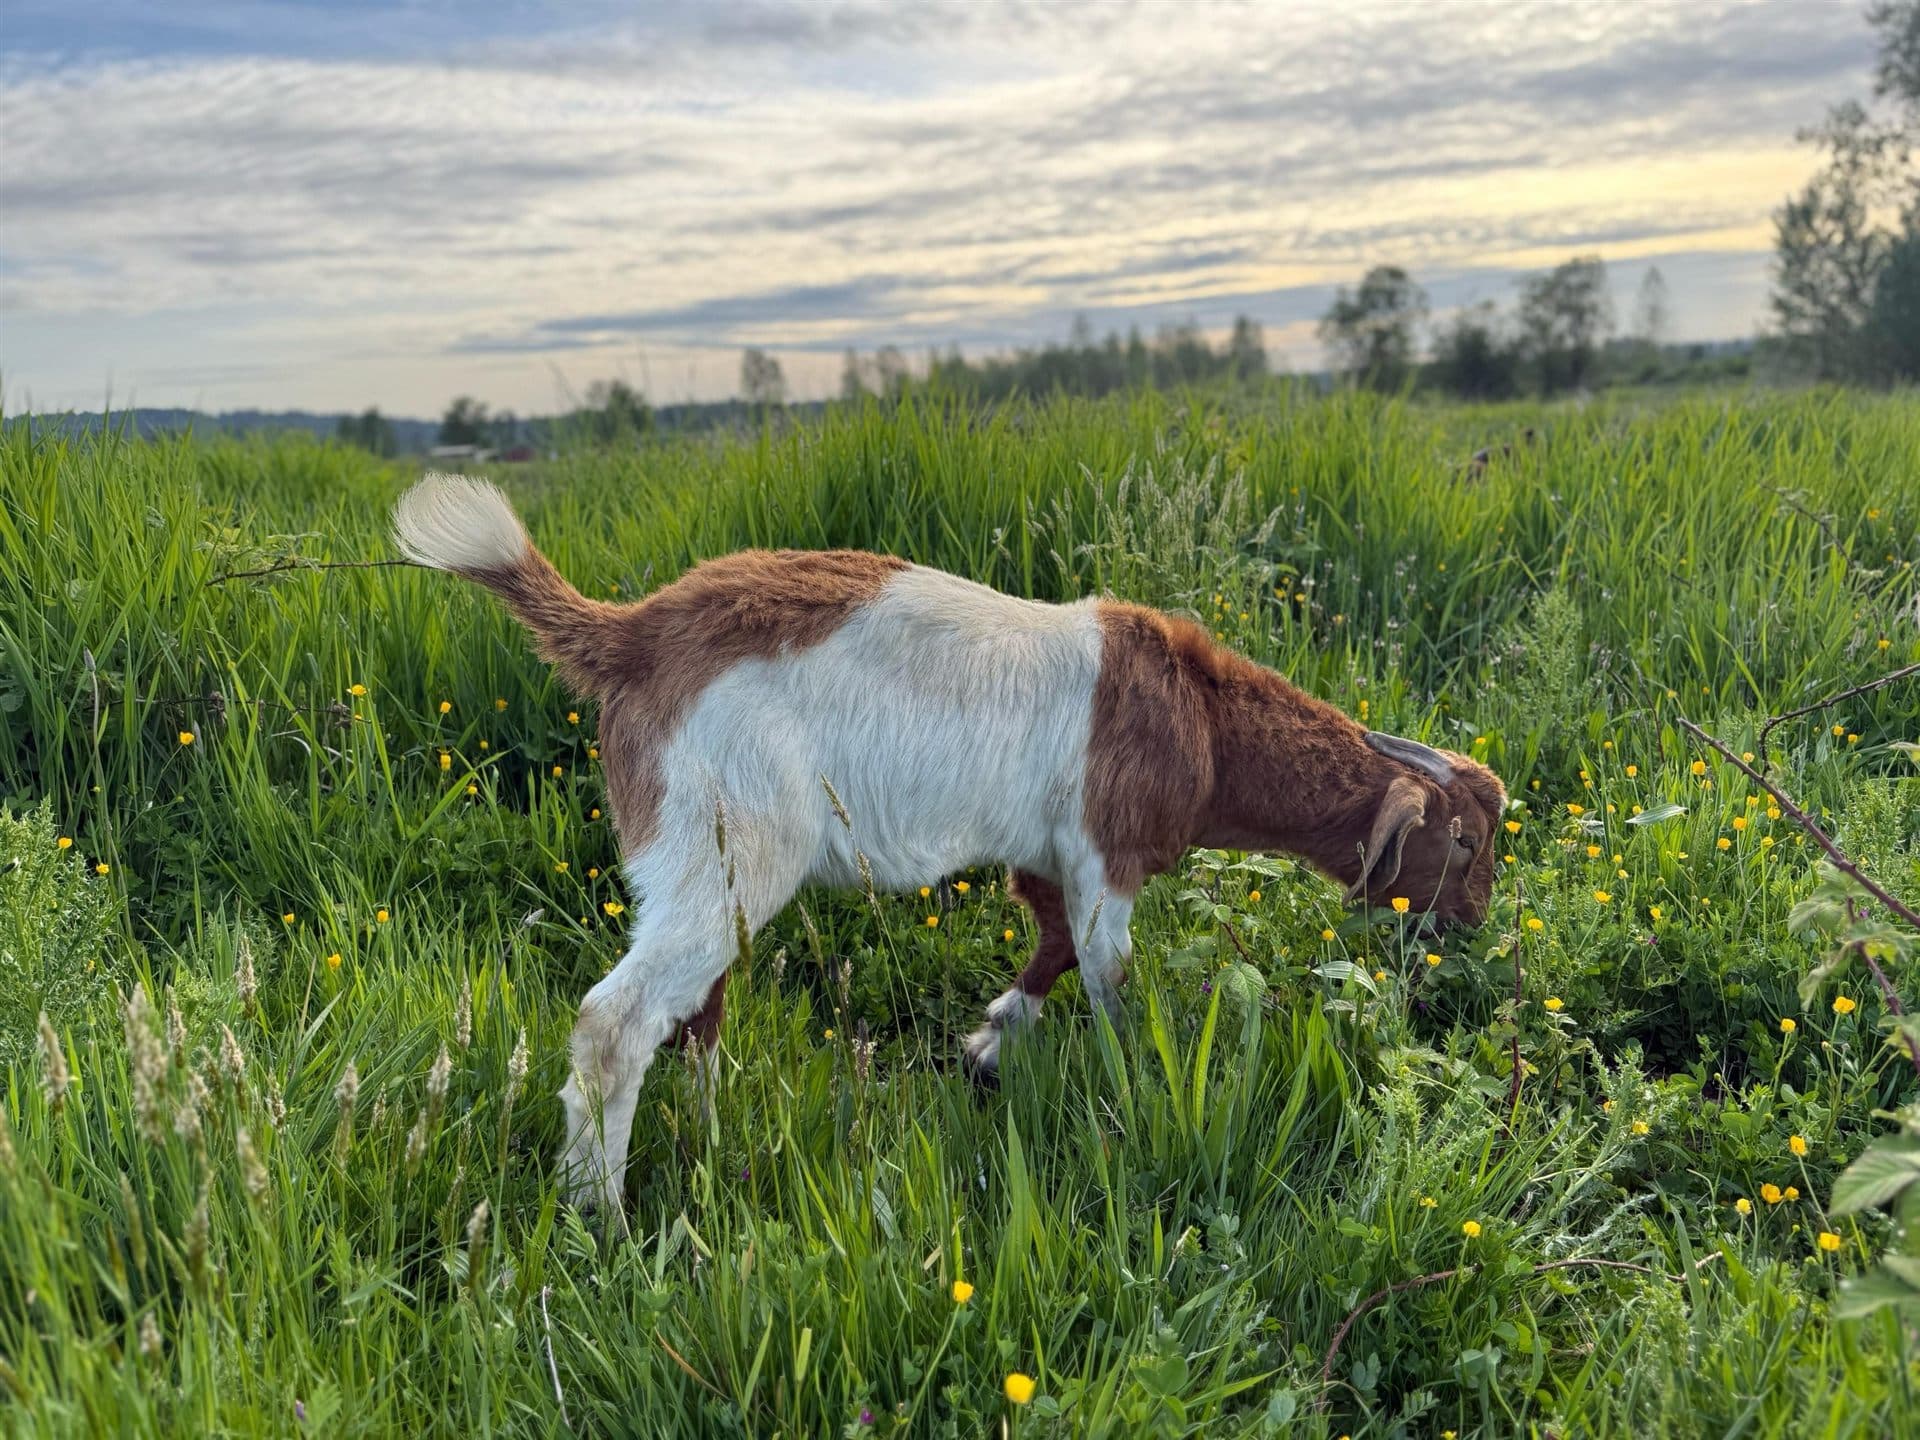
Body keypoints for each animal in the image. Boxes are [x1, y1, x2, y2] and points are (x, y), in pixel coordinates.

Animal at [393, 474, 1508, 1210]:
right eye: (1461, 846)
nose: (1476, 927)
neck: (1200, 719)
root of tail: (628, 635)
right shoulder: (1106, 853)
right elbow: (1108, 973)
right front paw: (1133, 1088)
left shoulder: (1044, 852)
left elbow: (1048, 942)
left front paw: (990, 1041)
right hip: (727, 844)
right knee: (617, 1021)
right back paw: (604, 1214)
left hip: (704, 866)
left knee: (697, 1007)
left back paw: (712, 1133)